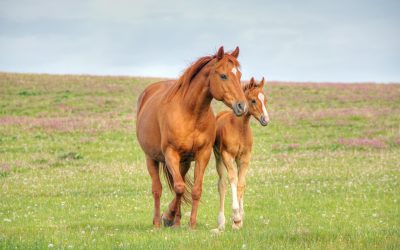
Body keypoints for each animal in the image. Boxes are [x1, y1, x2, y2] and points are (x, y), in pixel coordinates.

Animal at [137, 46, 247, 229]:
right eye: (223, 75)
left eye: (239, 75)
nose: (242, 106)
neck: (191, 113)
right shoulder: (171, 154)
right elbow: (179, 188)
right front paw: (168, 216)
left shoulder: (203, 154)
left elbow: (194, 190)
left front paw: (191, 224)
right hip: (151, 158)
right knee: (157, 189)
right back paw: (158, 222)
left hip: (184, 163)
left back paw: (176, 221)